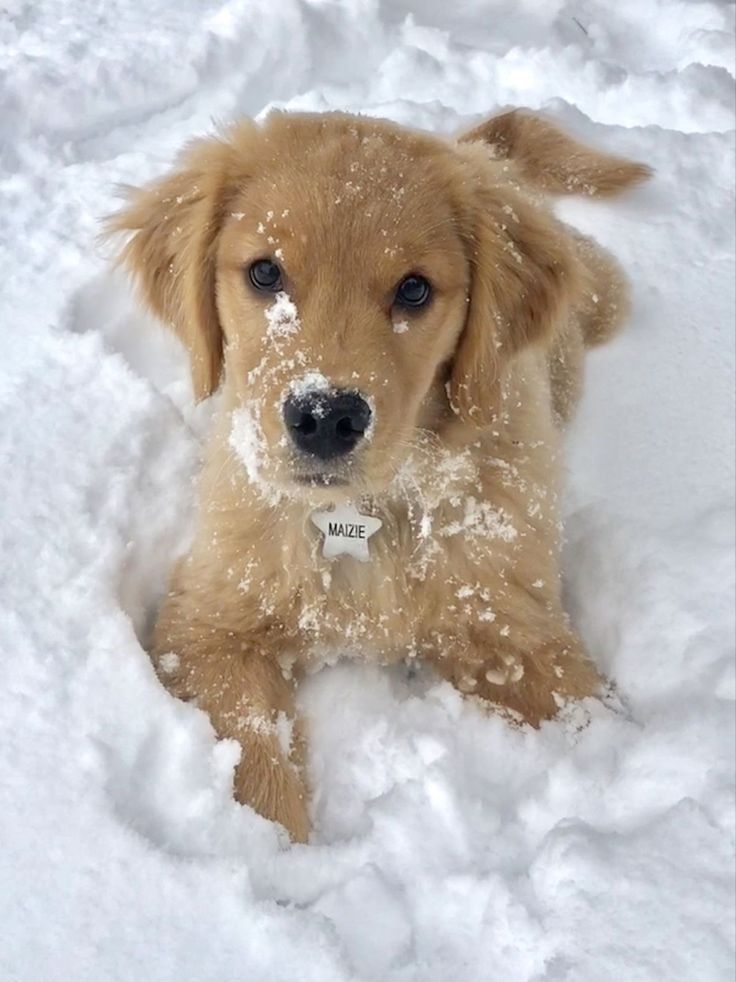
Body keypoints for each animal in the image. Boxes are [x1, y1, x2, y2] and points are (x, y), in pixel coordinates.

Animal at [108, 109, 648, 844]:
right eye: (265, 272)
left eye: (414, 289)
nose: (325, 417)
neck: (364, 511)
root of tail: (476, 146)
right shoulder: (207, 622)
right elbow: (250, 753)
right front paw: (273, 851)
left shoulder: (515, 627)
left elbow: (587, 714)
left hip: (599, 296)